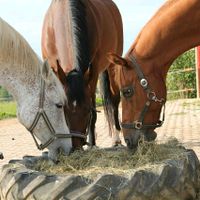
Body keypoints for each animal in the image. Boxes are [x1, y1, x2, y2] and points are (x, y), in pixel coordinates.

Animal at [41, 0, 122, 148]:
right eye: (64, 109)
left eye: (87, 110)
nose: (76, 145)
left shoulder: (93, 70)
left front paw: (92, 144)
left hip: (112, 64)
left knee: (114, 100)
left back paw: (115, 138)